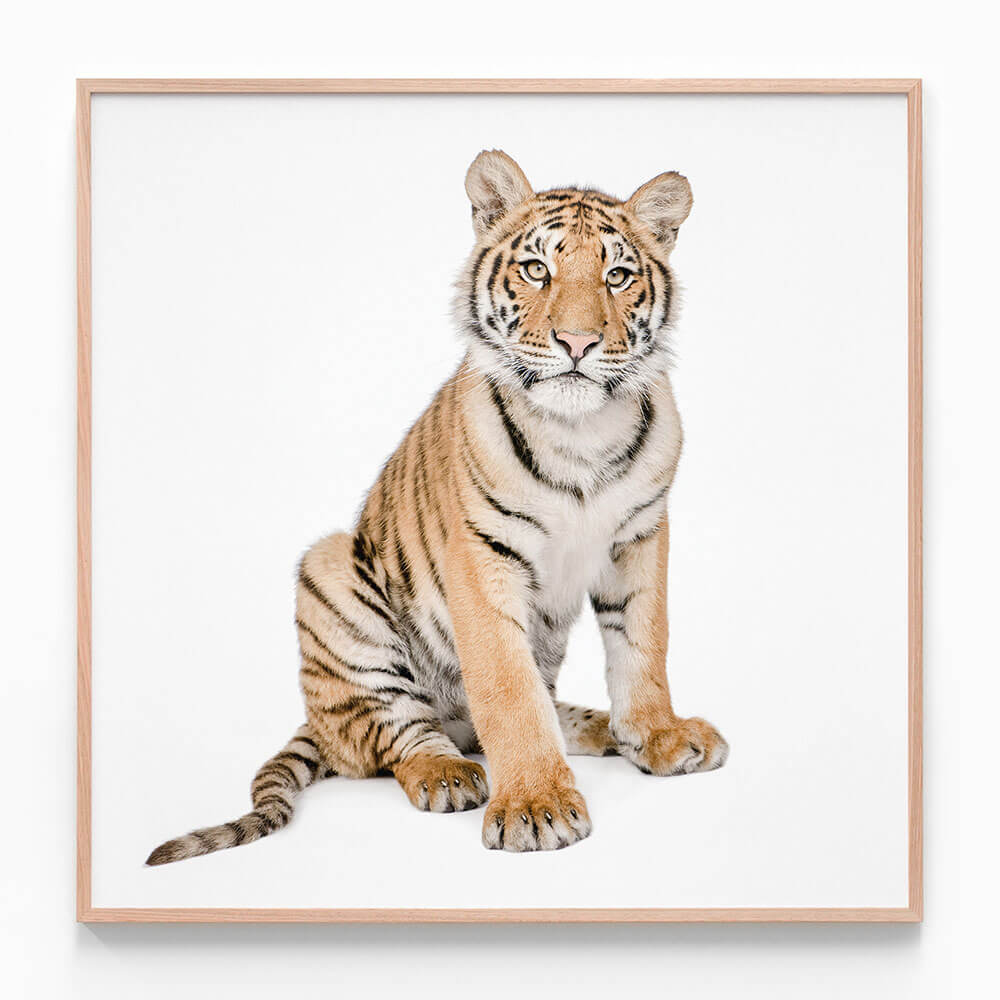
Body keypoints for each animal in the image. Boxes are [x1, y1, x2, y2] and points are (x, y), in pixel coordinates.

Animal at [146, 149, 728, 863]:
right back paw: (448, 772)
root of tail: (314, 720)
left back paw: (595, 727)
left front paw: (659, 736)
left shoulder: (639, 538)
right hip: (331, 573)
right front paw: (536, 805)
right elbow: (506, 688)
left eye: (617, 276)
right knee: (394, 737)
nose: (578, 343)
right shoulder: (481, 555)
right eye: (538, 269)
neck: (580, 432)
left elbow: (644, 646)